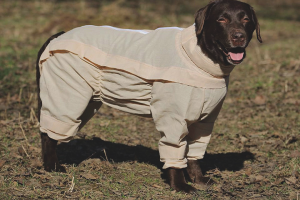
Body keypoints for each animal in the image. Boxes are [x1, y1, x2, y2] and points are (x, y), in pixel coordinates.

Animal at [36, 0, 262, 194]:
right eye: (221, 19)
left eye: (245, 19)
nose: (238, 36)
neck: (199, 58)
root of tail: (58, 36)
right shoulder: (174, 119)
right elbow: (175, 150)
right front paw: (180, 186)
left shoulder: (204, 122)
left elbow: (194, 154)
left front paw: (198, 180)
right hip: (67, 95)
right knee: (48, 133)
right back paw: (52, 167)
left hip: (86, 100)